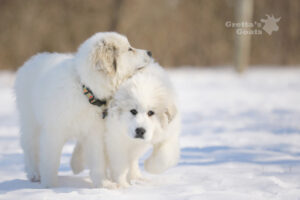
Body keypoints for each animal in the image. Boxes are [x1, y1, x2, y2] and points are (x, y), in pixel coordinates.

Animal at [14, 31, 151, 188]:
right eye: (129, 49)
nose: (150, 52)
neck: (85, 90)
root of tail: (33, 59)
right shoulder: (53, 132)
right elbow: (50, 161)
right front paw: (49, 186)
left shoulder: (94, 133)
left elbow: (97, 161)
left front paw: (102, 184)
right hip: (30, 121)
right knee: (29, 146)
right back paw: (34, 173)